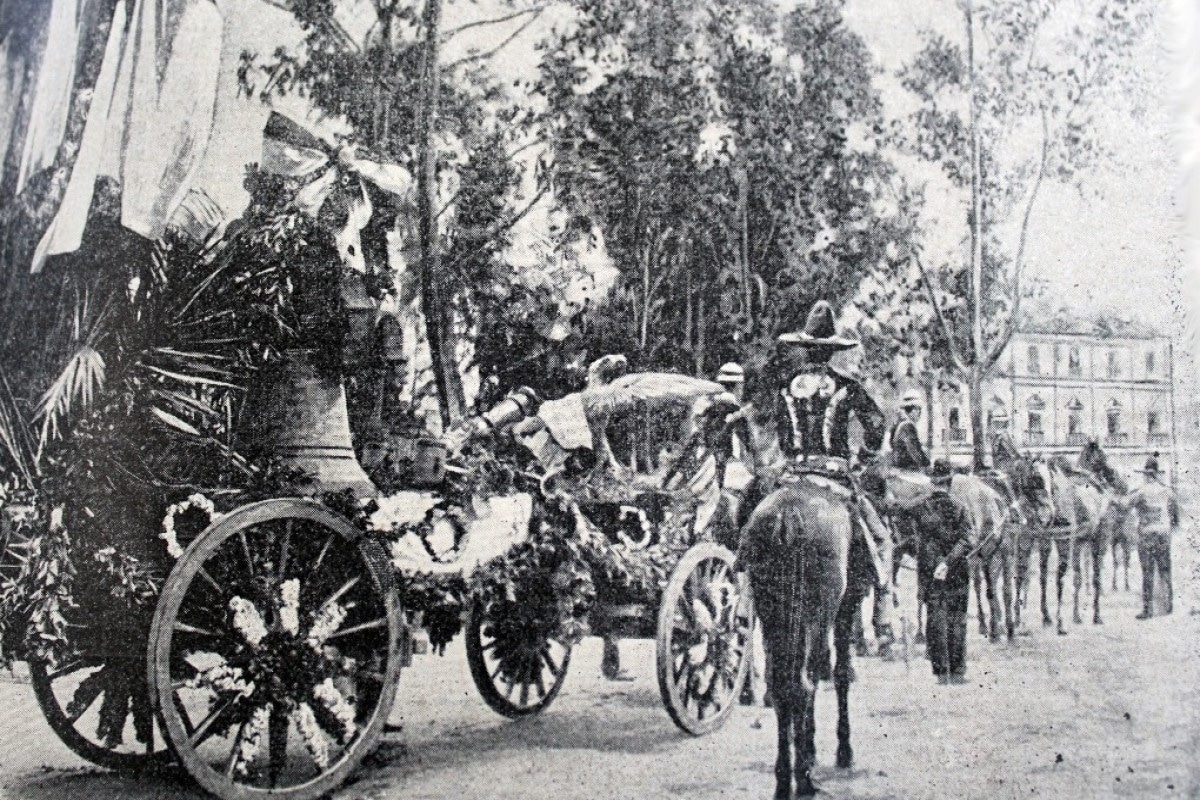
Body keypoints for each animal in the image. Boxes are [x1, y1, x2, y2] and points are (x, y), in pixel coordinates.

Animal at [729, 474, 873, 800]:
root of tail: (788, 515)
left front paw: (809, 749)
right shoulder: (844, 608)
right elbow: (839, 674)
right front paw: (842, 750)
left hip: (774, 614)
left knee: (783, 685)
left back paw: (784, 780)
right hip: (815, 613)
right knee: (804, 683)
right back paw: (804, 779)